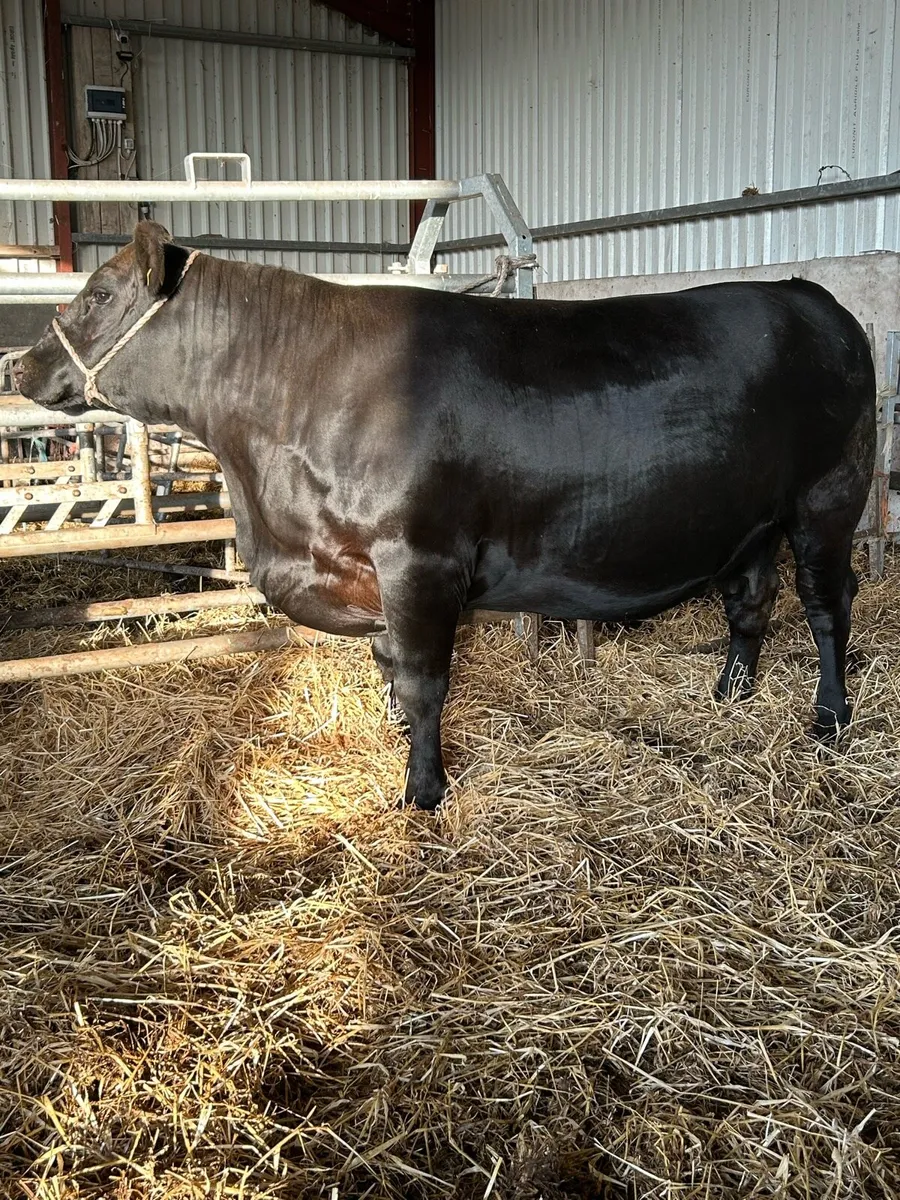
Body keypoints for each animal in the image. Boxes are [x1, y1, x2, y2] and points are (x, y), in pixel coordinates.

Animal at [15, 222, 876, 811]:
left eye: (97, 294)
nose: (21, 364)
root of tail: (807, 294)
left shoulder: (417, 558)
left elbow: (426, 680)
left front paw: (422, 790)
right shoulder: (361, 566)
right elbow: (390, 669)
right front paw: (399, 745)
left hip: (829, 497)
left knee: (828, 606)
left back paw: (829, 718)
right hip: (751, 518)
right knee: (752, 601)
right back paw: (731, 692)